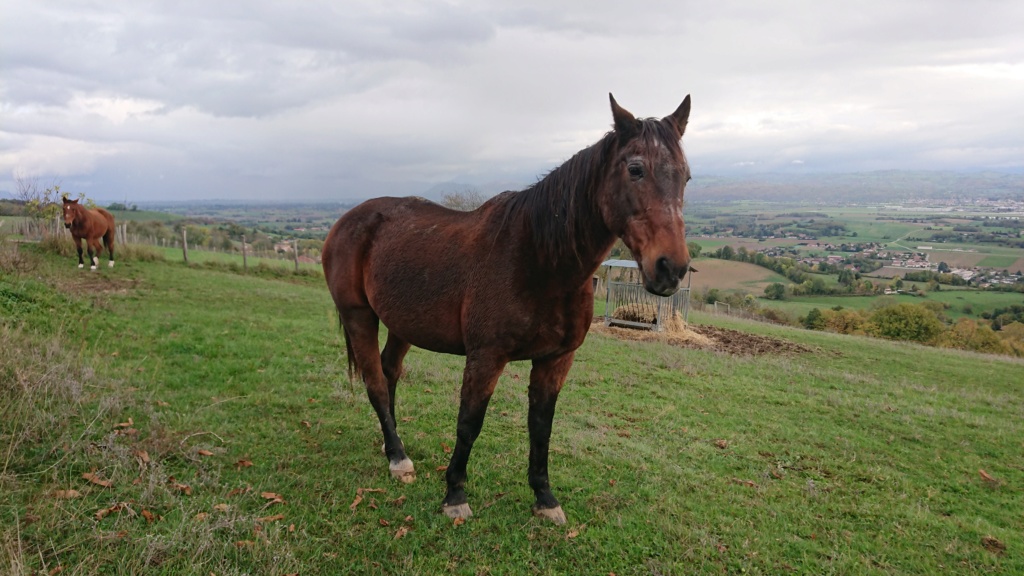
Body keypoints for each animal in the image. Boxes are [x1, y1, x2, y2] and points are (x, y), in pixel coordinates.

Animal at [325, 91, 696, 522]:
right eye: (636, 169)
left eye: (686, 177)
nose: (670, 268)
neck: (538, 260)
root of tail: (348, 219)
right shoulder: (486, 357)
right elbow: (469, 423)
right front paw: (455, 494)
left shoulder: (556, 359)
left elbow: (541, 427)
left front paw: (545, 498)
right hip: (359, 317)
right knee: (375, 383)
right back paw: (398, 459)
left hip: (402, 323)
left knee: (389, 374)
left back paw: (392, 447)